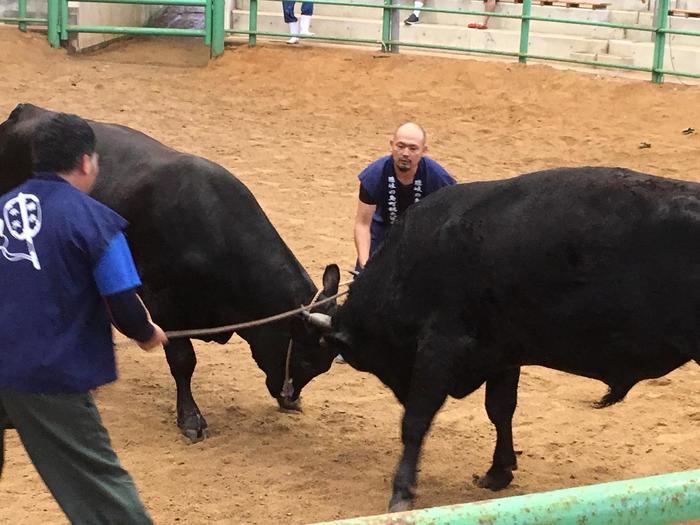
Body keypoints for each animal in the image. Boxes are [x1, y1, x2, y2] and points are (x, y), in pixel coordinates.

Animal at [0, 104, 340, 444]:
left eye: (322, 365)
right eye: (306, 357)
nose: (290, 396)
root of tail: (27, 111)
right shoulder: (163, 302)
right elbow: (183, 359)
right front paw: (190, 418)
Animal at [318, 167, 700, 512]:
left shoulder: (439, 347)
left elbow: (415, 420)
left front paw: (402, 492)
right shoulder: (502, 353)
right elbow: (500, 410)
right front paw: (498, 471)